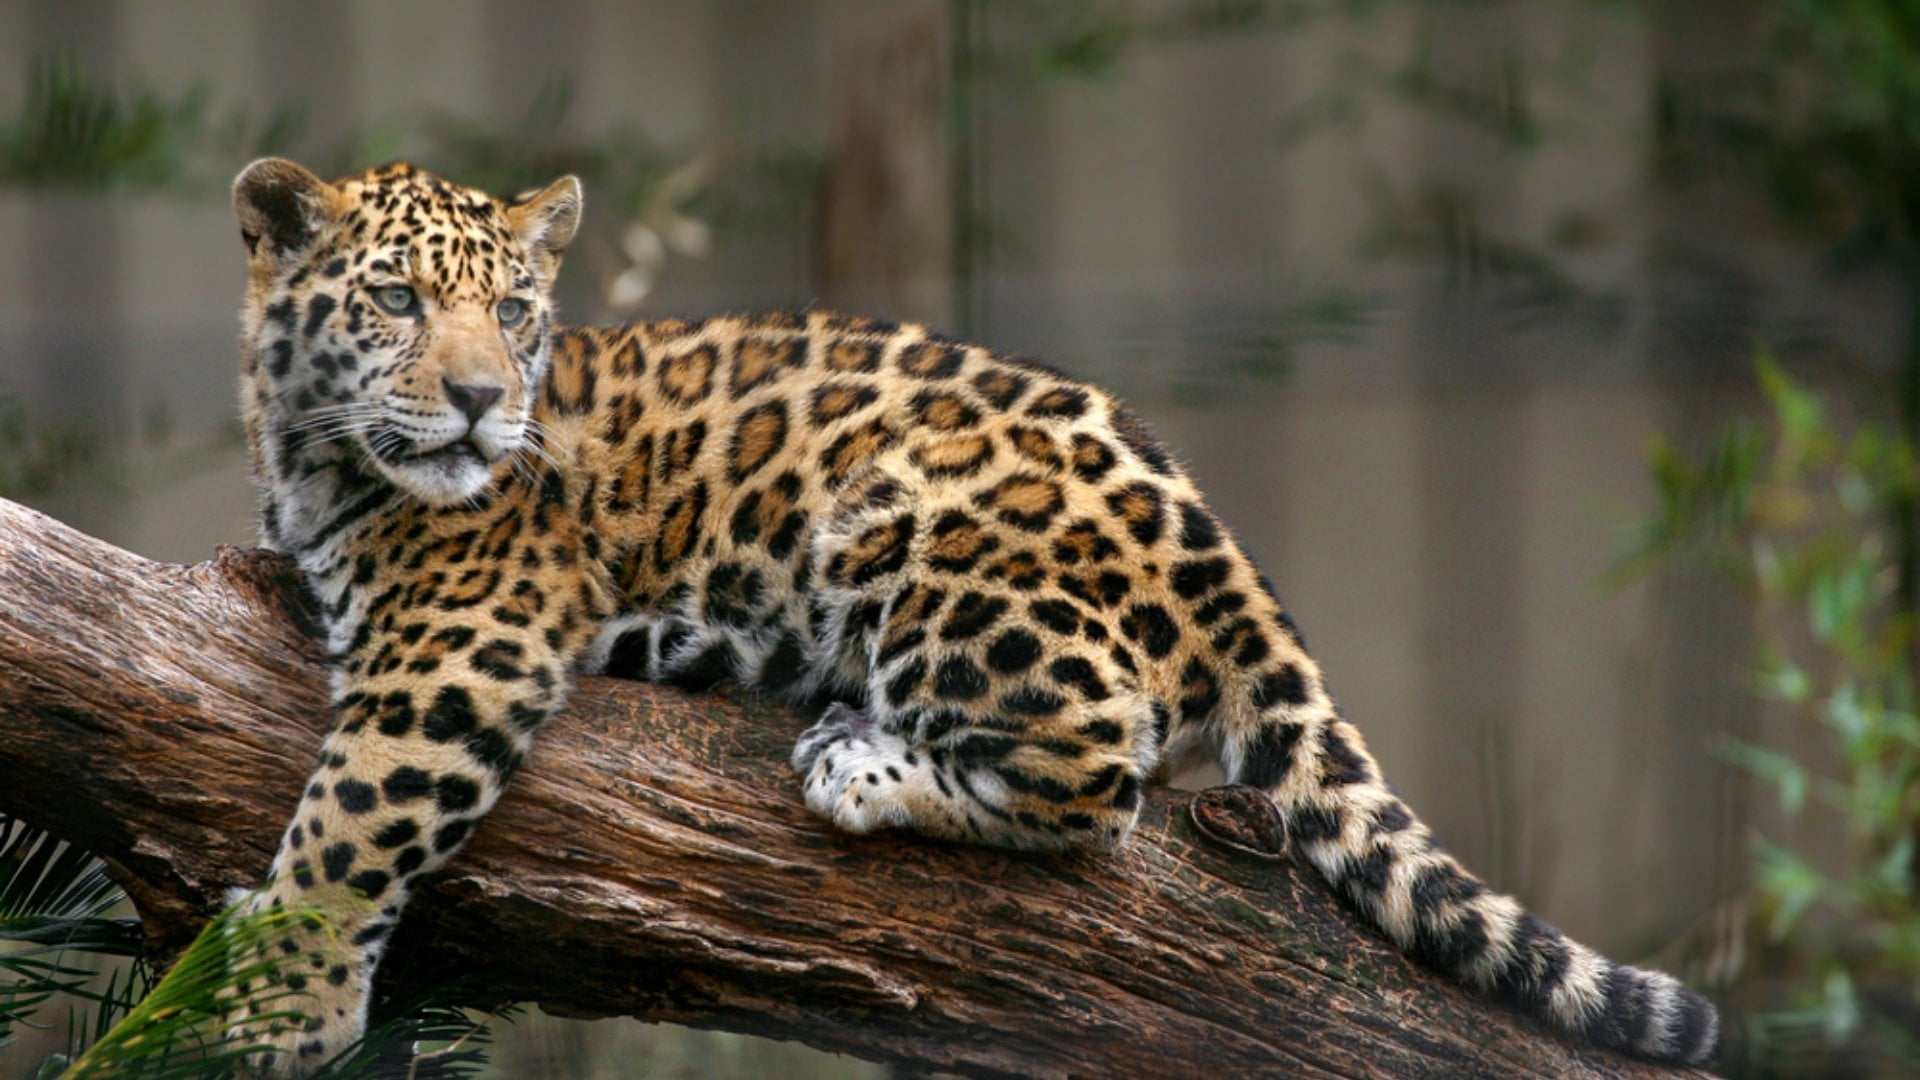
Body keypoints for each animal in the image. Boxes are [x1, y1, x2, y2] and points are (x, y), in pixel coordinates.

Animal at [220, 156, 1720, 1074]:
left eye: (517, 312)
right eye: (397, 297)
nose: (483, 401)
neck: (309, 452)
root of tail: (1221, 545)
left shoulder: (465, 639)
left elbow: (355, 816)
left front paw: (274, 1000)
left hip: (920, 533)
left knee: (1103, 780)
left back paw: (865, 762)